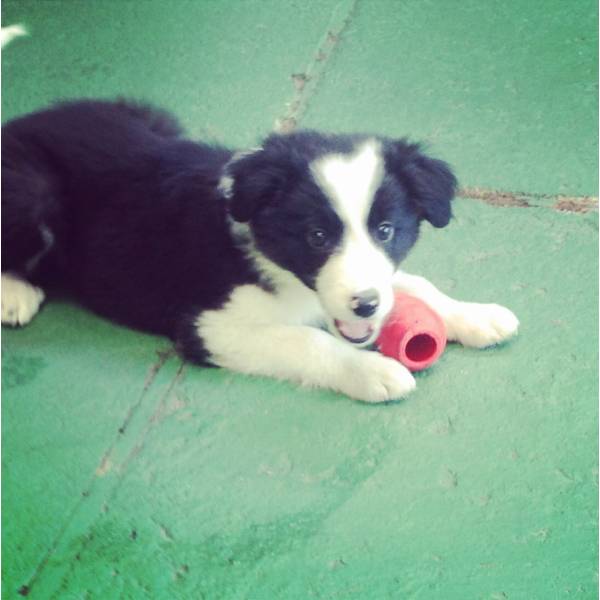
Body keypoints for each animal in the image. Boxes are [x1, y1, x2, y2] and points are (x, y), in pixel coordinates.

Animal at [0, 99, 516, 404]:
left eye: (386, 231)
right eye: (317, 237)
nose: (366, 305)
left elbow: (413, 283)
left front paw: (477, 316)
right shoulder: (206, 324)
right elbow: (307, 340)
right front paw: (372, 371)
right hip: (33, 189)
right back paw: (15, 293)